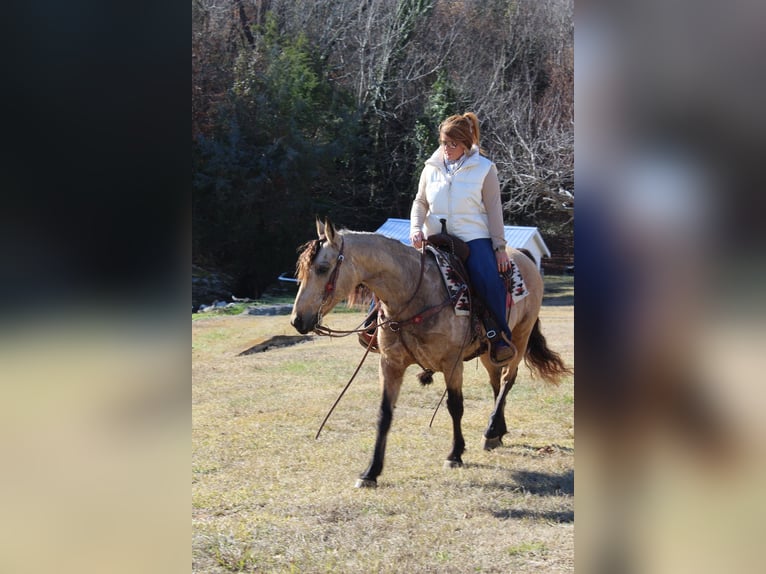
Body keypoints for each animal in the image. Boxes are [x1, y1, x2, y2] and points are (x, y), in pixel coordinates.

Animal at [292, 218, 572, 488]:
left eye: (322, 268)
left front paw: (455, 455)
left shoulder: (452, 363)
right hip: (488, 351)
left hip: (520, 337)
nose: (297, 320)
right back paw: (496, 433)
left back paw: (492, 429)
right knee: (495, 383)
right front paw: (371, 472)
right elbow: (384, 414)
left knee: (506, 380)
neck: (414, 294)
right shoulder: (390, 364)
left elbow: (455, 406)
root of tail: (524, 256)